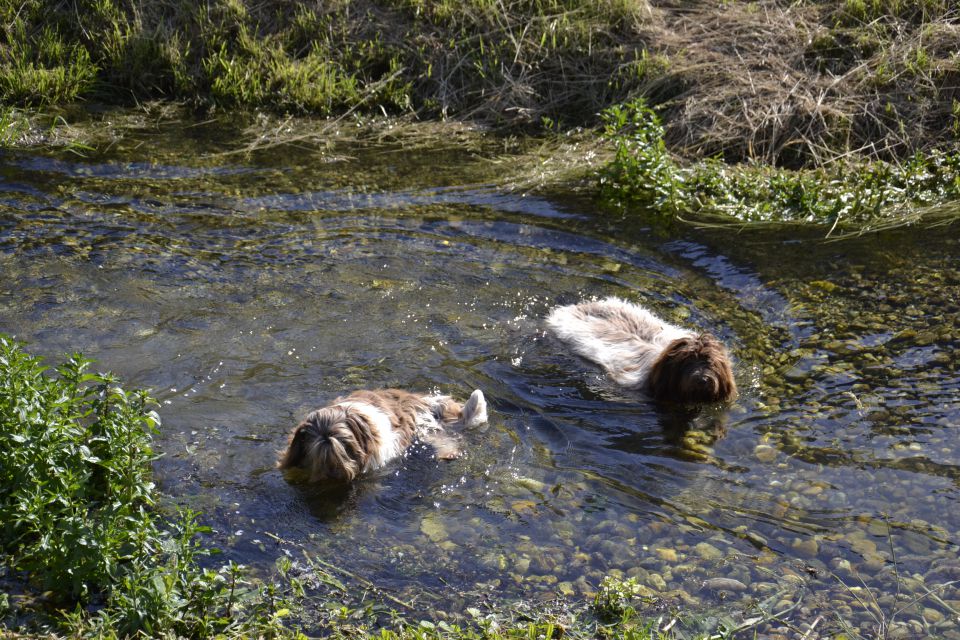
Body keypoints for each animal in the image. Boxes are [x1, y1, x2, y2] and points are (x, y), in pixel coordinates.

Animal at [278, 388, 488, 482]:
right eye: (318, 453)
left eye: (345, 448)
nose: (335, 472)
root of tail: (427, 402)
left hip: (427, 429)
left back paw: (448, 454)